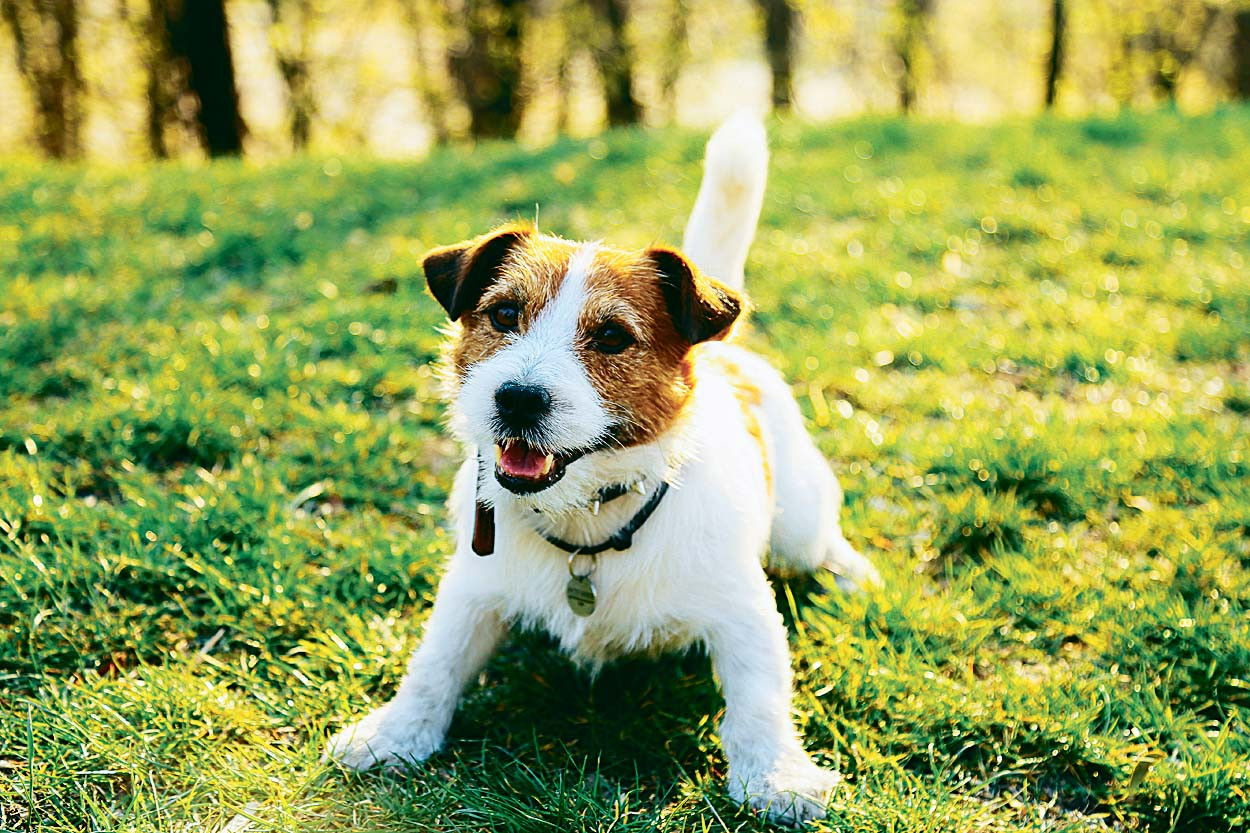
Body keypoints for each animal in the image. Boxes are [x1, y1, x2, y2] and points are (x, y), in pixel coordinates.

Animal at [324, 114, 878, 825]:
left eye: (613, 337)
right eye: (504, 313)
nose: (517, 399)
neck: (587, 522)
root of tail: (729, 352)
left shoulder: (742, 610)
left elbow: (759, 700)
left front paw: (777, 778)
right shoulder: (472, 588)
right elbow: (435, 663)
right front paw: (394, 734)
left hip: (799, 526)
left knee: (822, 544)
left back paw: (855, 576)